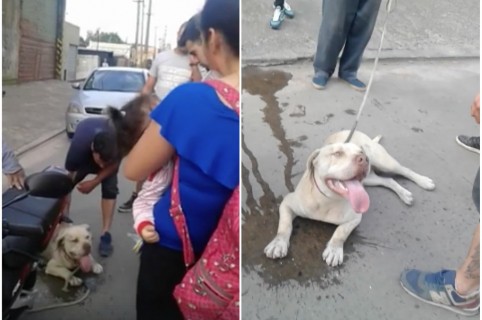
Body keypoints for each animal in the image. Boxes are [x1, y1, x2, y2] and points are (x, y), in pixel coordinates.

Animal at [266, 130, 434, 268]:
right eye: (337, 153)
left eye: (360, 152)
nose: (364, 158)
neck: (327, 200)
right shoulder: (287, 203)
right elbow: (284, 226)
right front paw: (278, 244)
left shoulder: (354, 218)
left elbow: (341, 232)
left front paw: (334, 249)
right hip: (370, 179)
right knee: (388, 180)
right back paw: (404, 193)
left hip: (384, 162)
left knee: (404, 170)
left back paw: (423, 181)